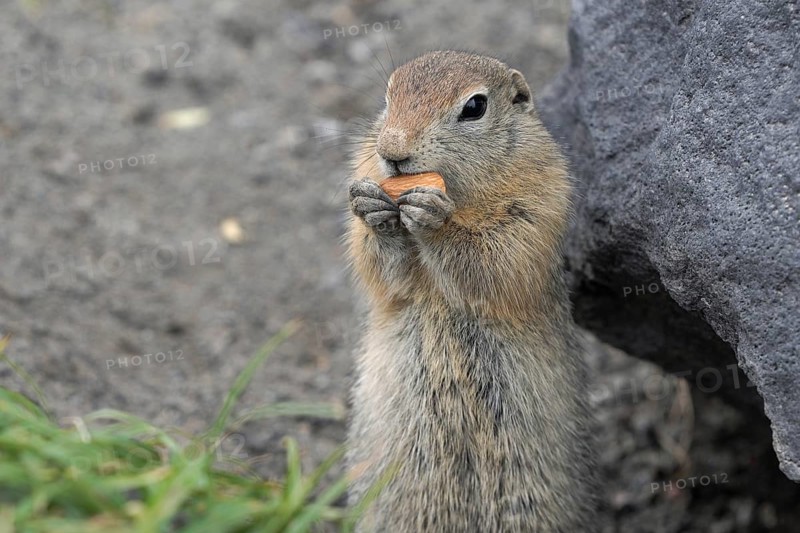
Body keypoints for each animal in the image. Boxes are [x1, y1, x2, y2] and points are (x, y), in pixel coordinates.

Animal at [345, 50, 599, 532]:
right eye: (388, 96)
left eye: (475, 106)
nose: (391, 152)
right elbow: (383, 273)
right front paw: (372, 209)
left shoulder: (537, 206)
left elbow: (495, 259)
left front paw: (434, 218)